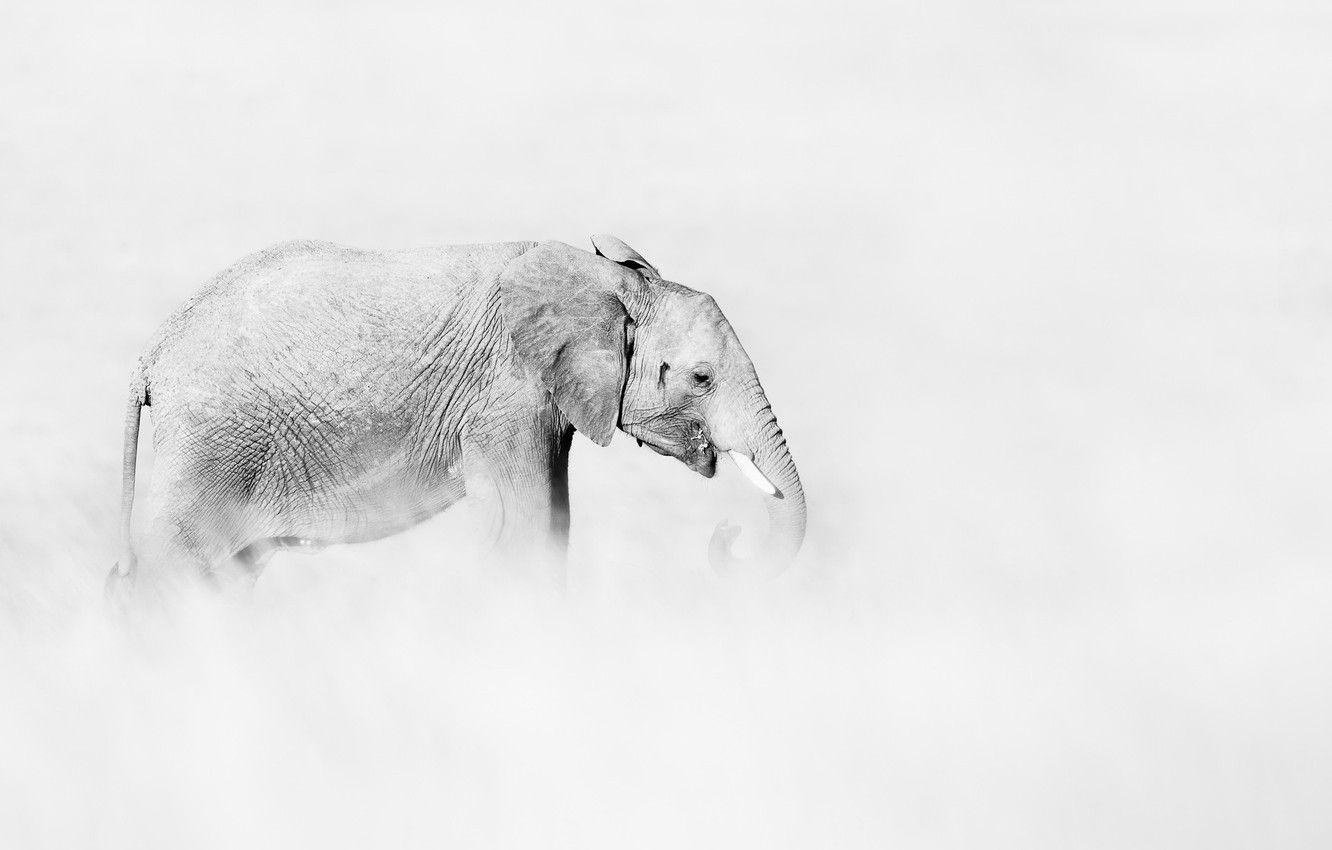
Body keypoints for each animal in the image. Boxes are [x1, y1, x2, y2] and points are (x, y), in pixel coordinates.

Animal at [107, 235, 805, 597]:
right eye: (701, 378)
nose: (728, 534)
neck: (604, 278)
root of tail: (152, 353)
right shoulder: (508, 399)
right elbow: (530, 531)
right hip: (207, 447)